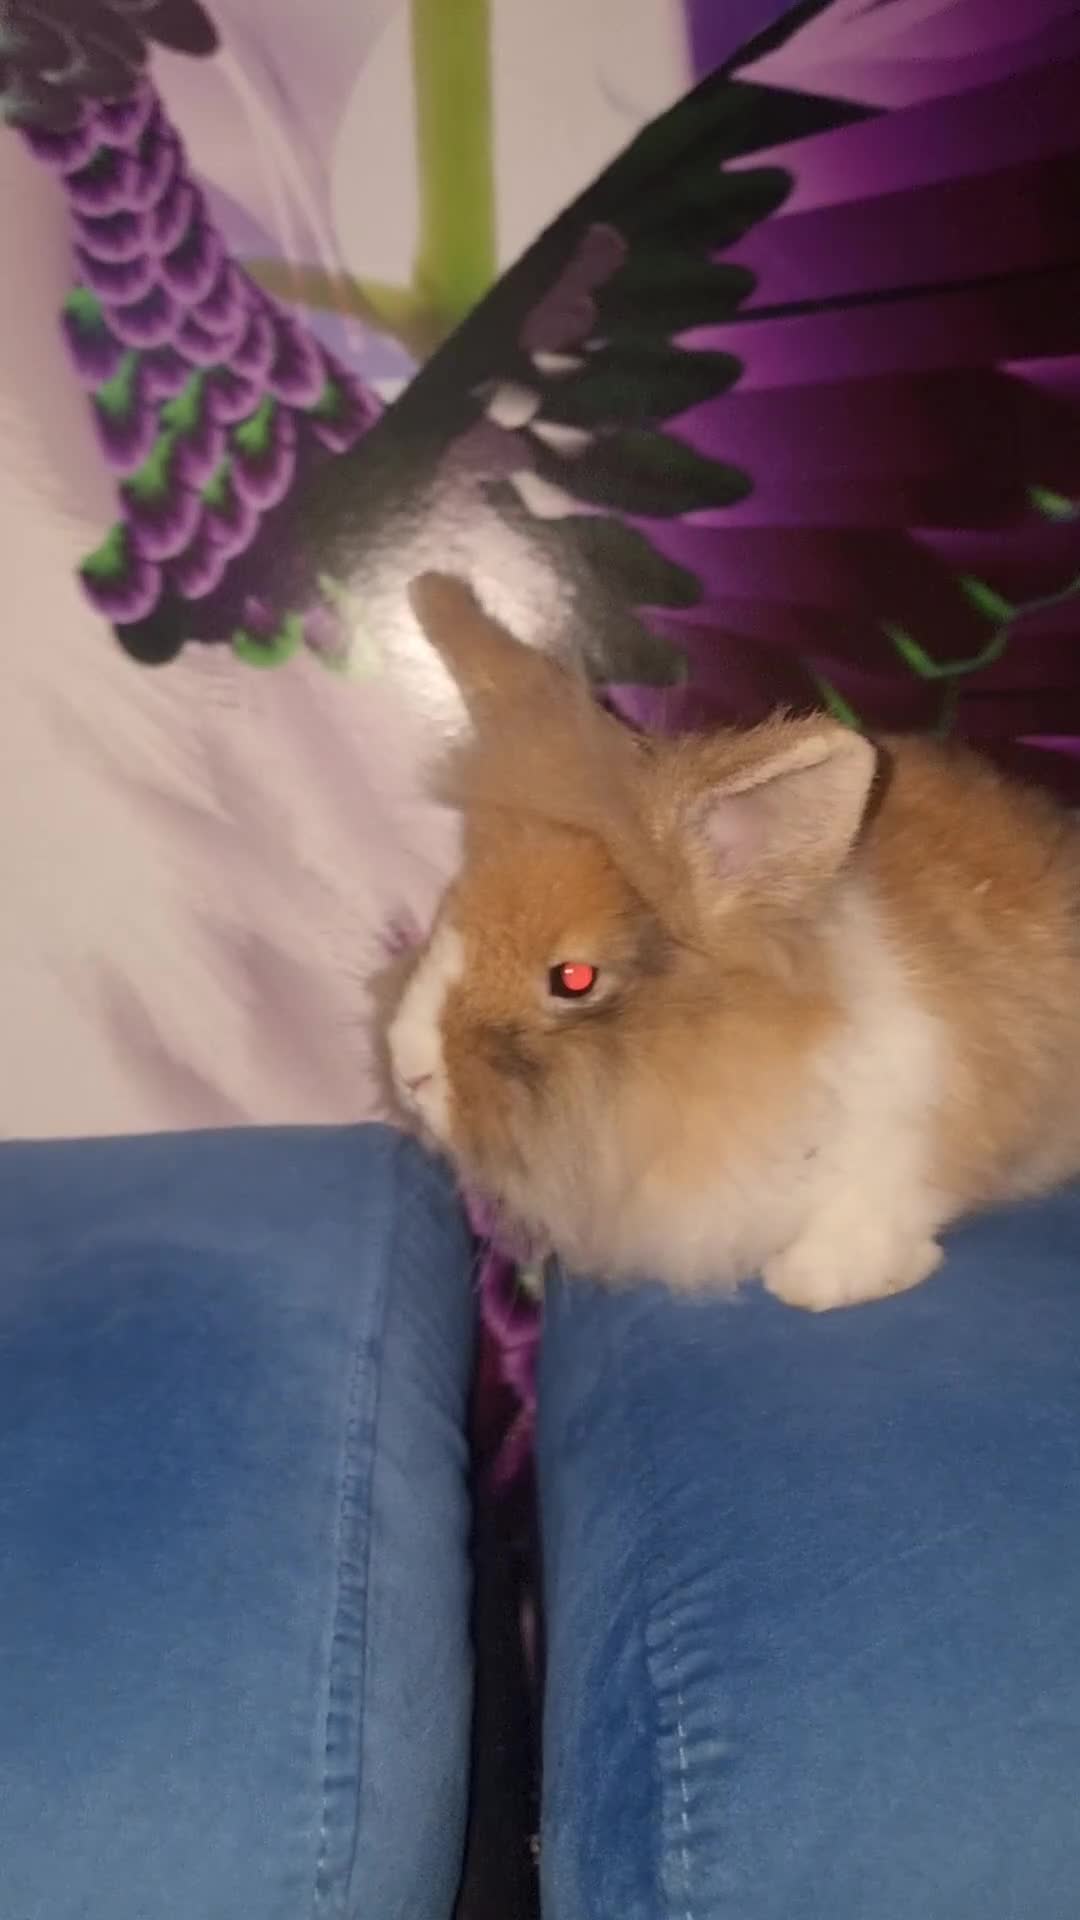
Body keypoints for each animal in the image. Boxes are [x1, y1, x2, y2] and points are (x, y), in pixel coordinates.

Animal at [387, 572, 1080, 1311]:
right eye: (449, 909)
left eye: (573, 979)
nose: (408, 1070)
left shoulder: (913, 1135)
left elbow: (878, 1213)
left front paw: (816, 1282)